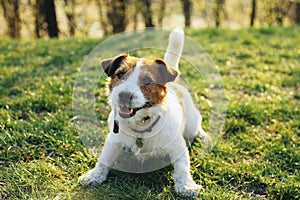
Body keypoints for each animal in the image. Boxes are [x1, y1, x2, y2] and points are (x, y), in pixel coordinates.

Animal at [78, 27, 209, 197]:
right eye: (120, 74)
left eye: (147, 81)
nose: (124, 95)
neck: (140, 124)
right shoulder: (113, 141)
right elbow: (104, 159)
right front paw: (94, 176)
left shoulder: (177, 146)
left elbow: (182, 167)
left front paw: (186, 186)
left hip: (191, 125)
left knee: (198, 129)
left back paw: (205, 138)